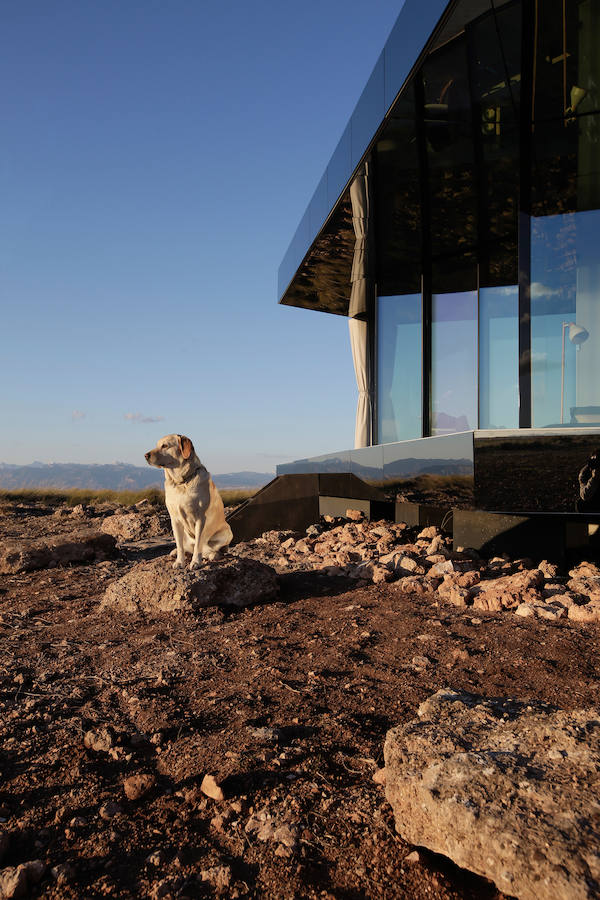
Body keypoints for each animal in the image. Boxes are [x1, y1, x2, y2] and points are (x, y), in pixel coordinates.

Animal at [144, 432, 233, 568]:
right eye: (157, 445)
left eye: (165, 446)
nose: (146, 455)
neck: (181, 482)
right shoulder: (174, 520)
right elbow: (180, 545)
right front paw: (179, 562)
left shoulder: (200, 518)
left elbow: (198, 545)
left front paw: (195, 562)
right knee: (186, 546)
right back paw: (175, 552)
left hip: (227, 532)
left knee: (212, 549)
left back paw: (211, 555)